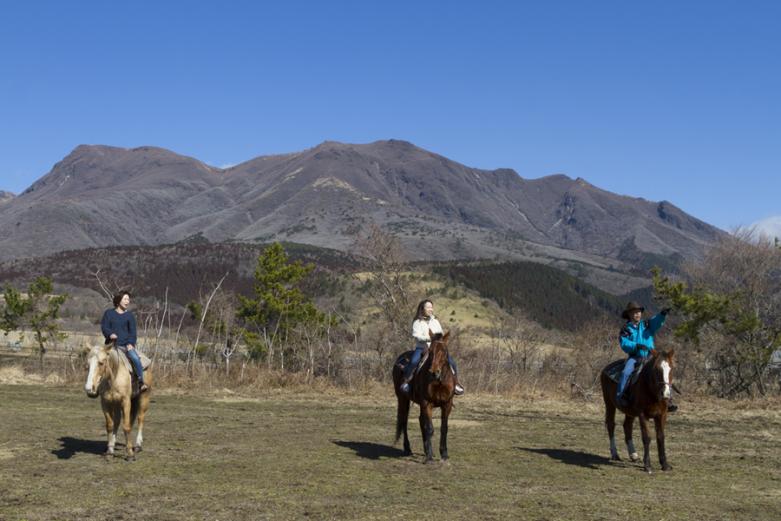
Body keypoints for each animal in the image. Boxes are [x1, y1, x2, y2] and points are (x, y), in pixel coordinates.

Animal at [394, 332, 454, 462]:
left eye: (444, 351)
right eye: (430, 351)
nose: (434, 372)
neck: (439, 381)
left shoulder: (447, 404)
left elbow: (444, 428)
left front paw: (444, 454)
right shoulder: (427, 403)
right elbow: (429, 428)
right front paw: (429, 457)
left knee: (421, 420)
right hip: (403, 399)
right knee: (404, 420)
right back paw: (408, 448)